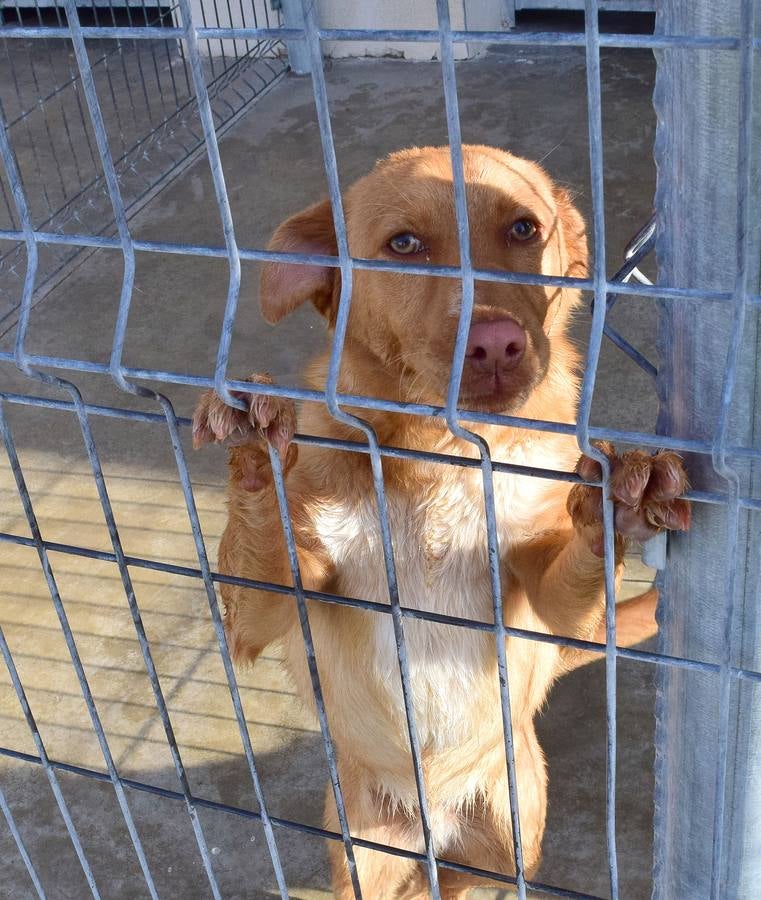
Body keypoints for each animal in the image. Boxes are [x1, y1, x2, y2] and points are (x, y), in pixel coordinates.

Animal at [191, 144, 688, 896]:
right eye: (403, 245)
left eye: (523, 229)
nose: (495, 344)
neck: (443, 457)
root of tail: (437, 823)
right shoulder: (263, 613)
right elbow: (262, 560)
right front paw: (257, 452)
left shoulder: (551, 600)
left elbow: (573, 569)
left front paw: (615, 504)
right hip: (361, 851)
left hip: (510, 843)